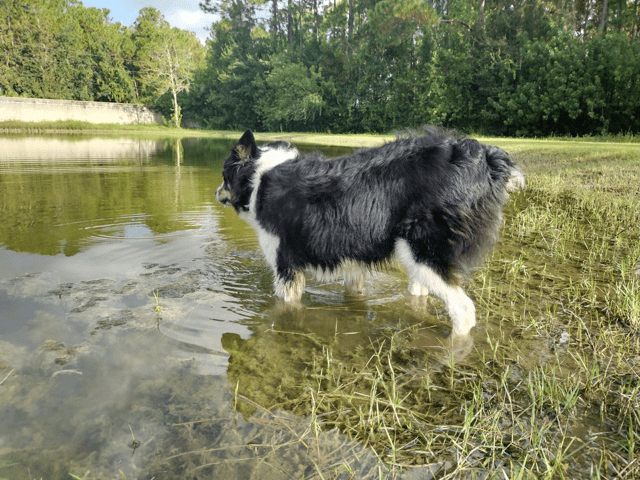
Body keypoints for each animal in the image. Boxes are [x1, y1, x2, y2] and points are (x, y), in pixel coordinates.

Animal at [218, 129, 524, 336]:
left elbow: (285, 303)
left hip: (421, 250)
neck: (258, 178)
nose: (216, 192)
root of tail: (486, 158)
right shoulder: (352, 257)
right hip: (416, 257)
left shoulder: (286, 264)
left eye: (223, 176)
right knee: (422, 292)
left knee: (463, 310)